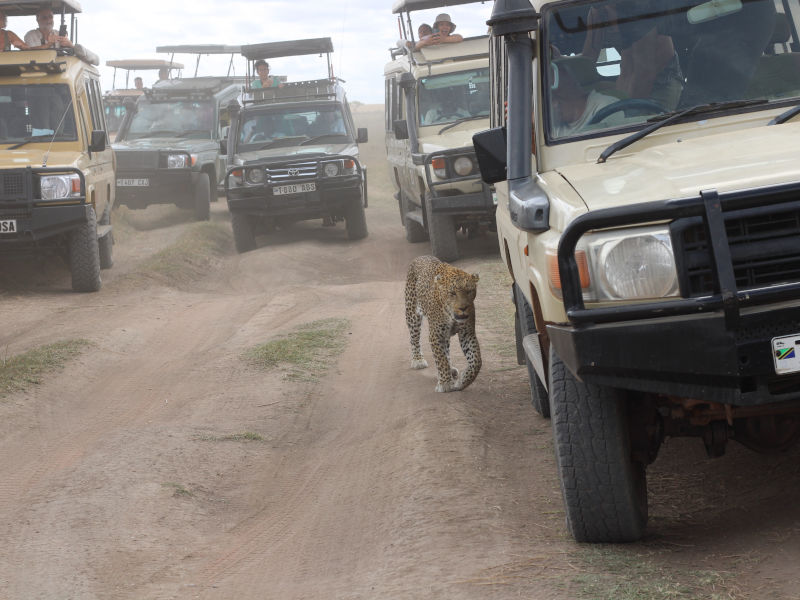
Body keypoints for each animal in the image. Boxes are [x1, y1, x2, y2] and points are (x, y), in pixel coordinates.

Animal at [406, 254, 482, 392]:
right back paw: (418, 360)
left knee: (446, 349)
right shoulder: (435, 335)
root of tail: (421, 256)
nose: (463, 308)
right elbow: (441, 360)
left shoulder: (467, 333)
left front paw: (463, 381)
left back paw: (451, 370)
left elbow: (476, 360)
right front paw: (445, 383)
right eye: (452, 293)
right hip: (412, 314)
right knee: (414, 338)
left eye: (469, 291)